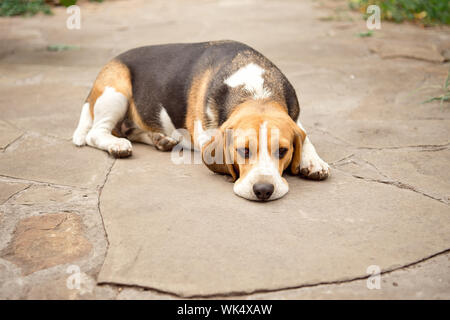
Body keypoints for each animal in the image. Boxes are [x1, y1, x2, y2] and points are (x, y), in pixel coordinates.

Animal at [72, 40, 328, 200]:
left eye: (283, 151)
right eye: (243, 151)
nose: (264, 190)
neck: (256, 92)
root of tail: (110, 62)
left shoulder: (294, 116)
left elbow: (305, 137)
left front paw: (313, 161)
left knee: (129, 130)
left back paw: (160, 139)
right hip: (116, 91)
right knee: (96, 133)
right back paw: (117, 145)